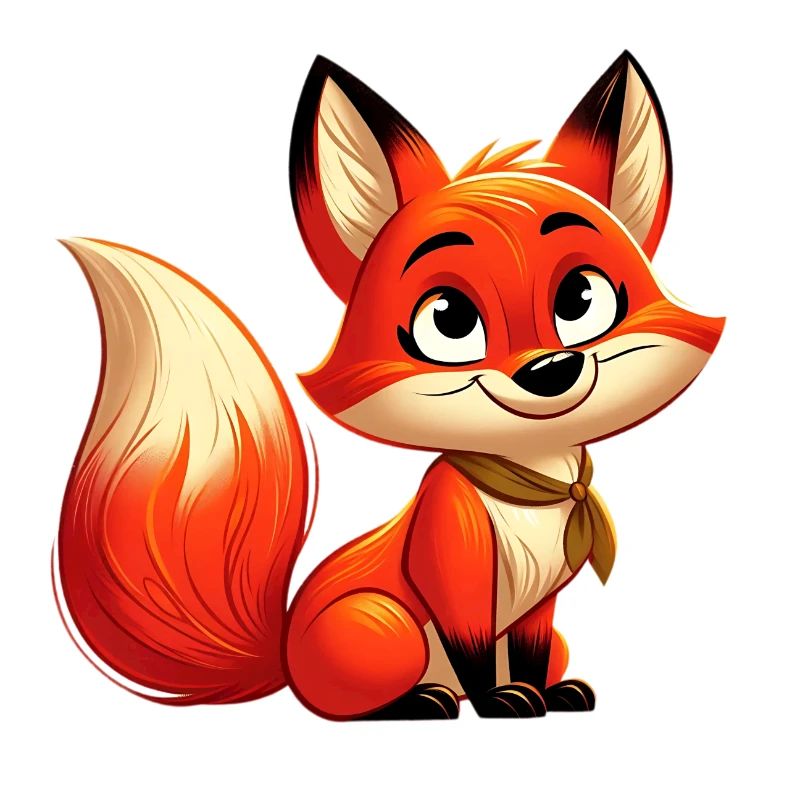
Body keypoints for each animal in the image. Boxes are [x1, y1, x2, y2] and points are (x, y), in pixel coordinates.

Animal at [55, 52, 724, 720]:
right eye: (450, 319)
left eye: (581, 298)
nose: (550, 371)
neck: (530, 491)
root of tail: (284, 658)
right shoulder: (451, 572)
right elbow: (472, 652)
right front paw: (500, 700)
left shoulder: (541, 607)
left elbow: (530, 653)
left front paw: (544, 695)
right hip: (389, 623)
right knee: (361, 701)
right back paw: (424, 700)